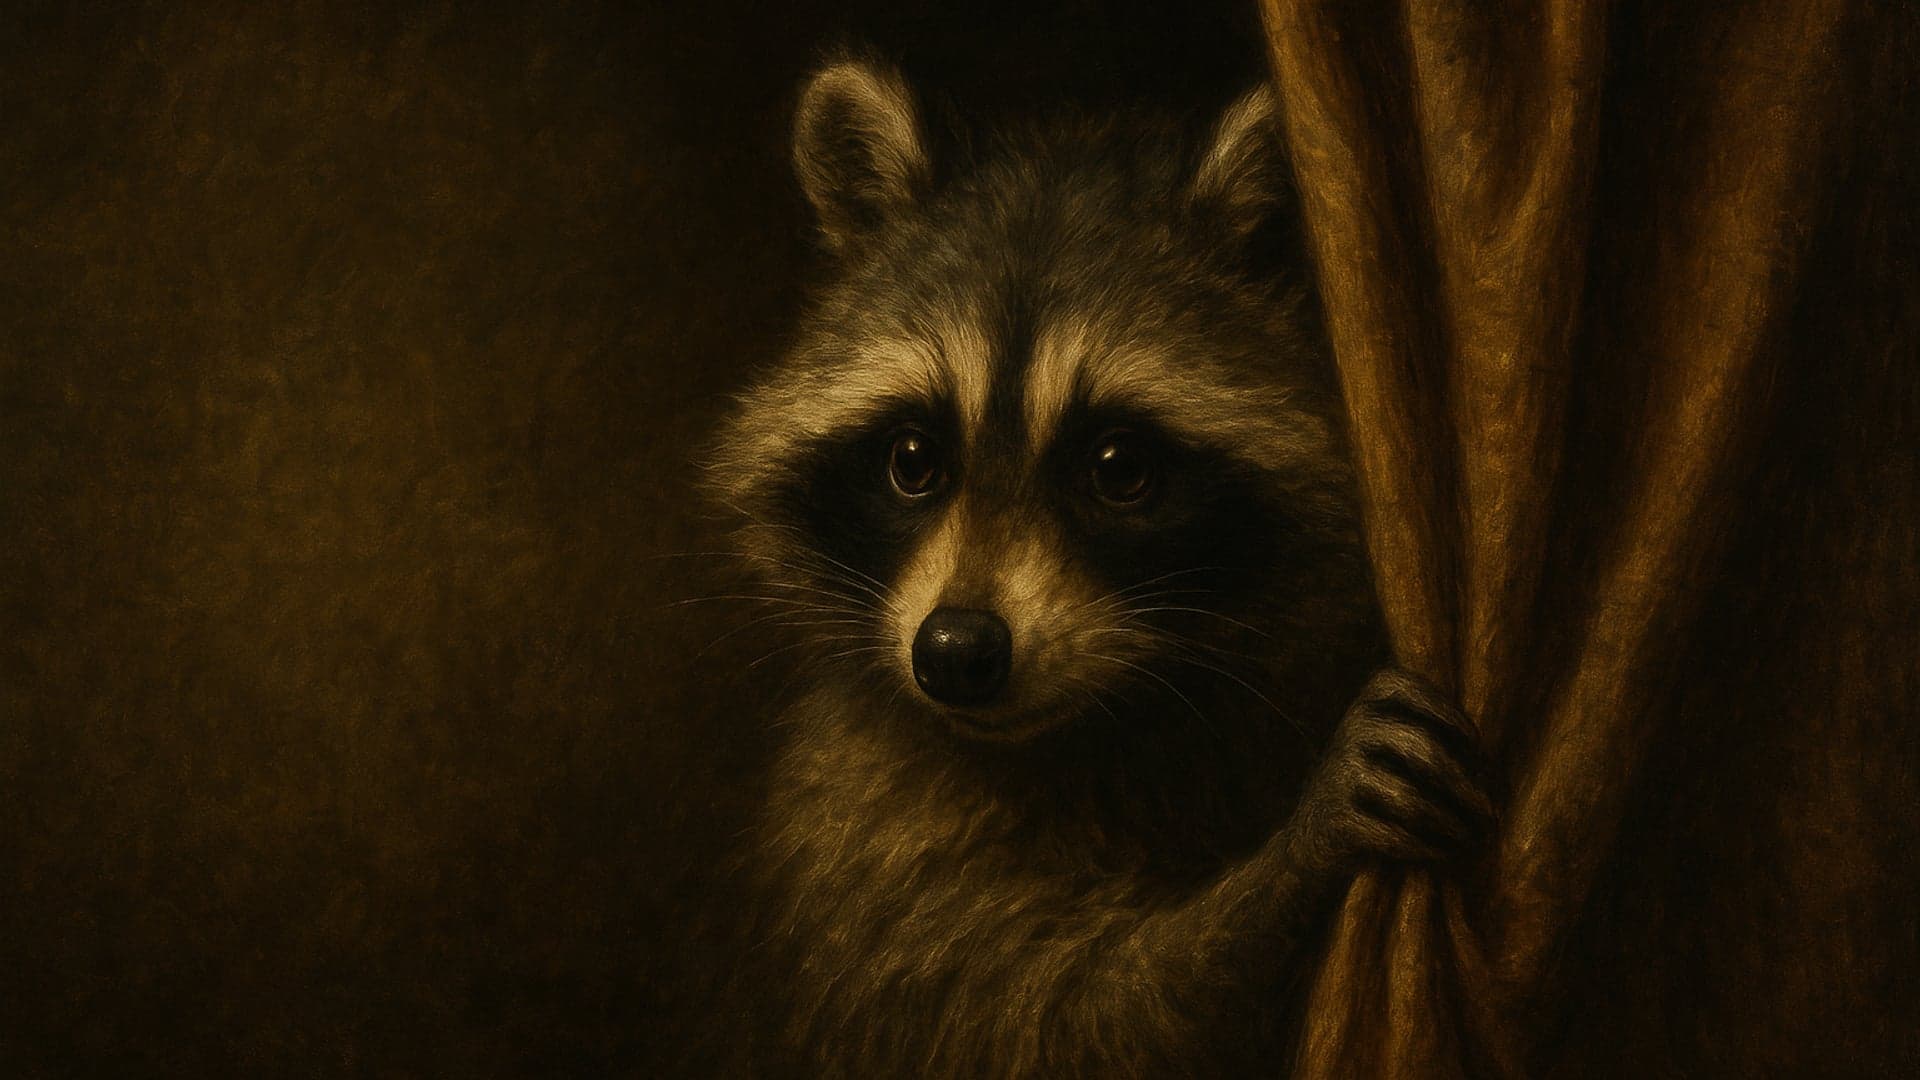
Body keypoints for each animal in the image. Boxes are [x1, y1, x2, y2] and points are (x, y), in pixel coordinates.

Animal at [703, 56, 1491, 1078]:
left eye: (1118, 468)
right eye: (913, 459)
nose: (956, 652)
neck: (1112, 721)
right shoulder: (859, 829)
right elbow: (1049, 1023)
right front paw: (1294, 858)